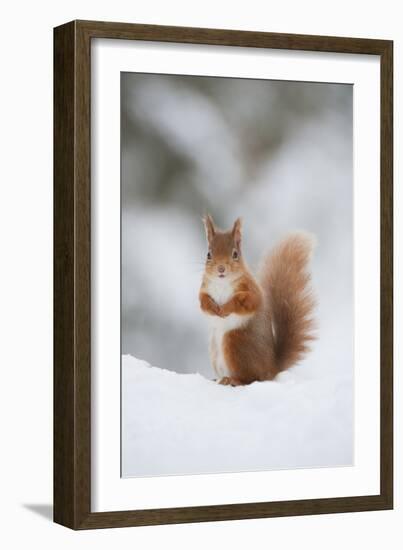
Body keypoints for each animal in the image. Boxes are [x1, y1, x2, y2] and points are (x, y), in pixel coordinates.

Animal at [200, 216, 318, 388]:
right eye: (208, 254)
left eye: (235, 254)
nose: (221, 269)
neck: (222, 282)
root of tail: (271, 369)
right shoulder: (204, 288)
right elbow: (202, 302)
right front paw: (213, 308)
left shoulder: (251, 291)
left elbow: (247, 302)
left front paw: (226, 308)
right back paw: (219, 379)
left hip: (234, 342)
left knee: (251, 378)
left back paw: (233, 380)